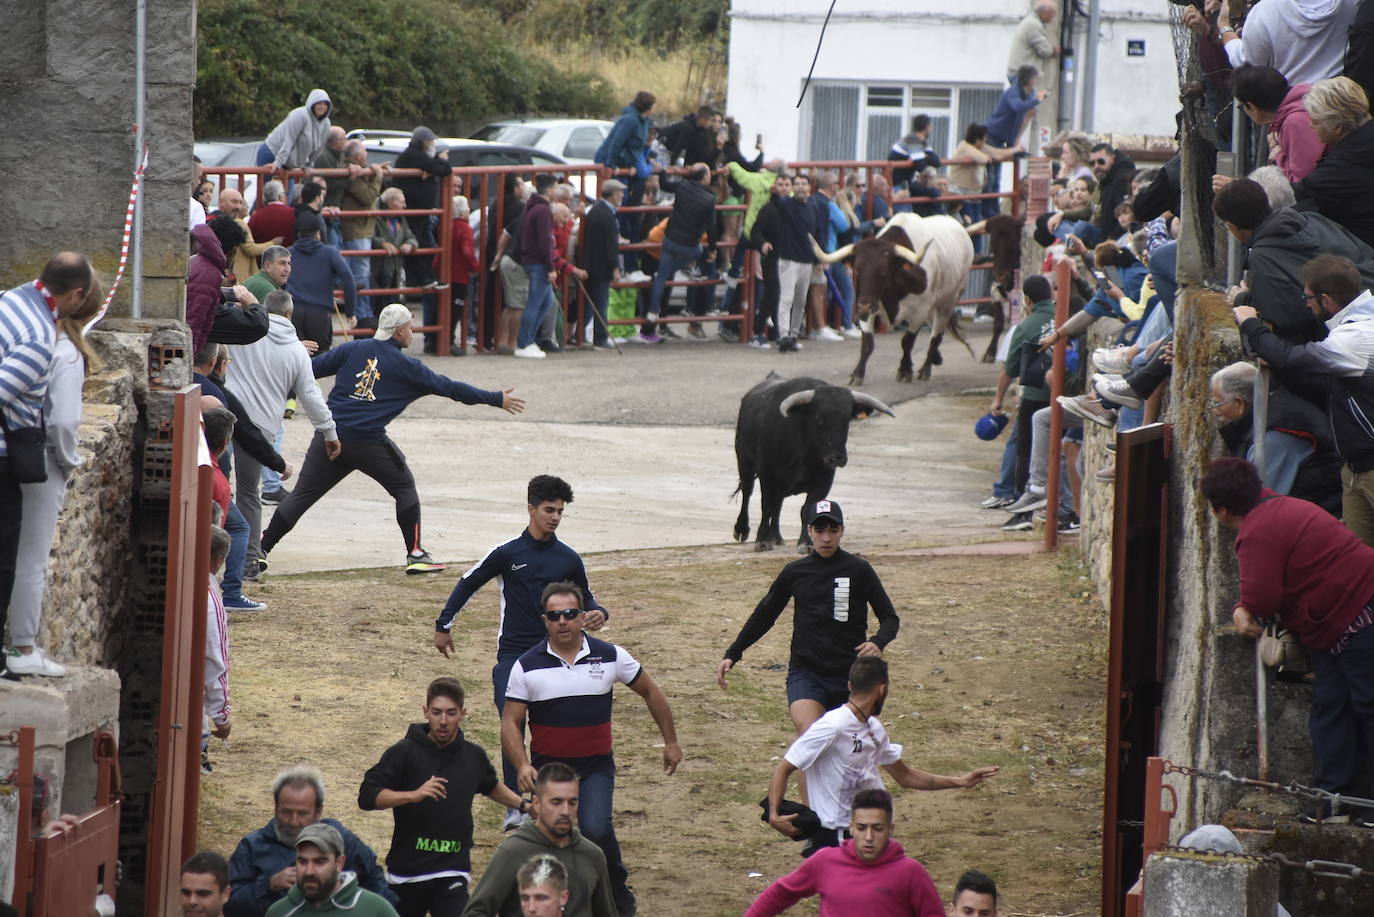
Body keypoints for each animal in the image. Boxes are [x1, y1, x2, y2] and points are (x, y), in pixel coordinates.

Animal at [730, 373, 890, 552]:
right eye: (819, 418)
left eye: (847, 419)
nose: (837, 457)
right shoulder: (767, 474)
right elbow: (766, 506)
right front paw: (761, 541)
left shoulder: (824, 481)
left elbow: (807, 509)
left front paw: (806, 543)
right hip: (744, 462)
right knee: (748, 493)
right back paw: (742, 530)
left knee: (778, 504)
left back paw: (776, 537)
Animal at [813, 213, 978, 384]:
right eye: (857, 270)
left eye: (883, 272)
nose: (864, 306)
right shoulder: (868, 307)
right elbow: (867, 343)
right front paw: (857, 374)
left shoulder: (919, 312)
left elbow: (907, 342)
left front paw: (905, 370)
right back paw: (936, 358)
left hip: (947, 302)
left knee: (936, 334)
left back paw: (926, 368)